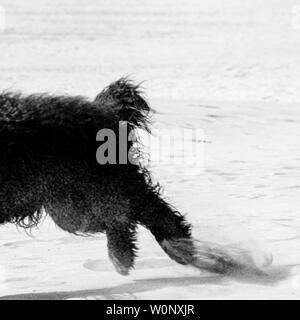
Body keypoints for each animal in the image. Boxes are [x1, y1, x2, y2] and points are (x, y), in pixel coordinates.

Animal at [0, 79, 252, 276]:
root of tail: (104, 111)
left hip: (94, 188)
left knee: (148, 208)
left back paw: (177, 248)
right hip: (68, 199)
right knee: (123, 216)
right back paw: (126, 254)